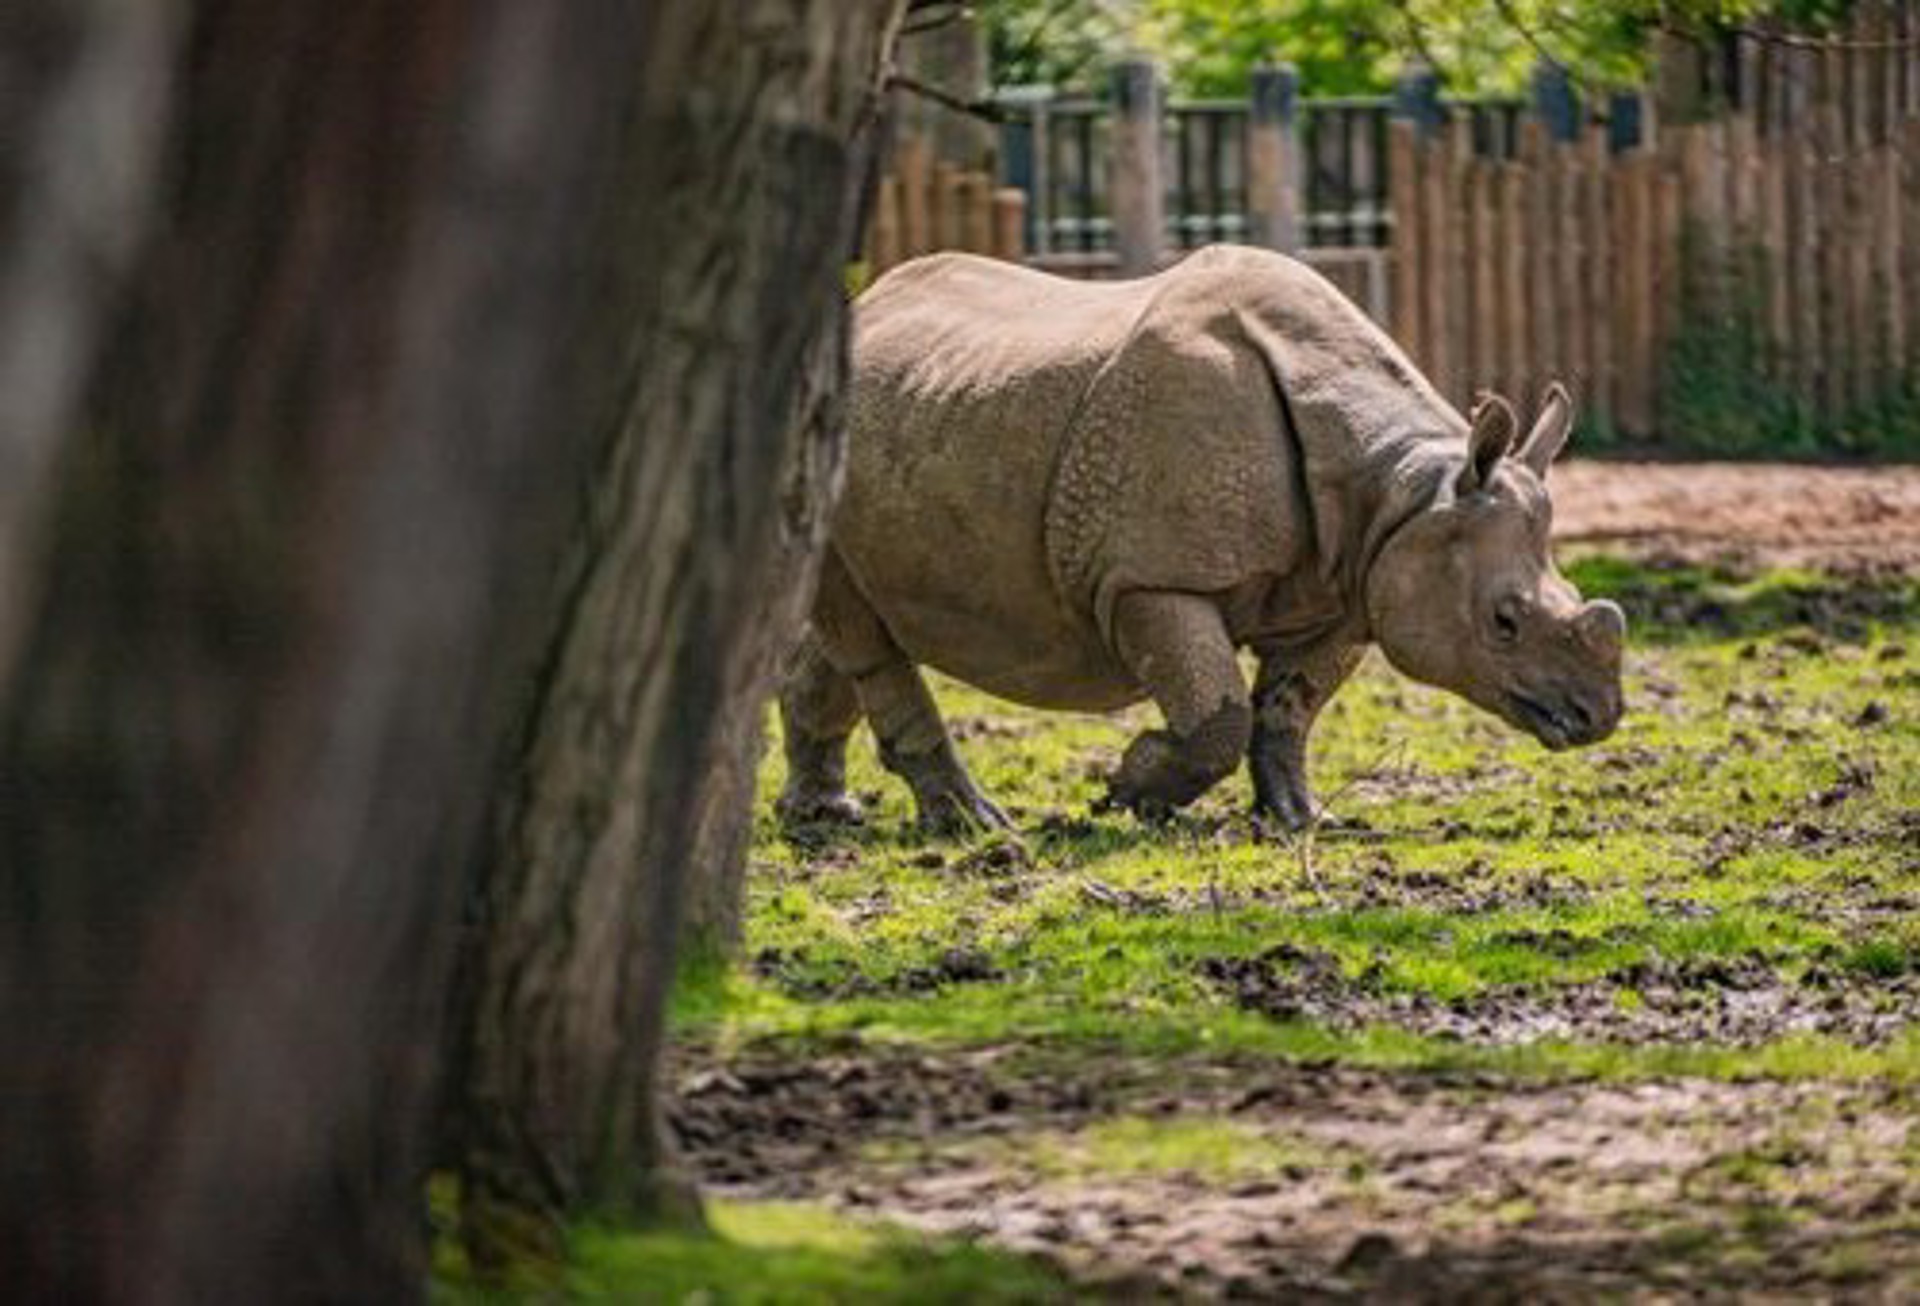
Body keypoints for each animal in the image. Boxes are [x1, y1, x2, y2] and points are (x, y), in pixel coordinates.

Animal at [777, 244, 1625, 834]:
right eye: (1504, 621)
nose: (1597, 717)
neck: (1401, 491)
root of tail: (869, 303)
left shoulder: (1350, 587)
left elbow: (1286, 712)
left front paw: (1301, 820)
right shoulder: (1150, 577)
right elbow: (1220, 716)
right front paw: (1126, 791)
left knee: (850, 631)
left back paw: (824, 817)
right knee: (865, 639)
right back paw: (975, 828)